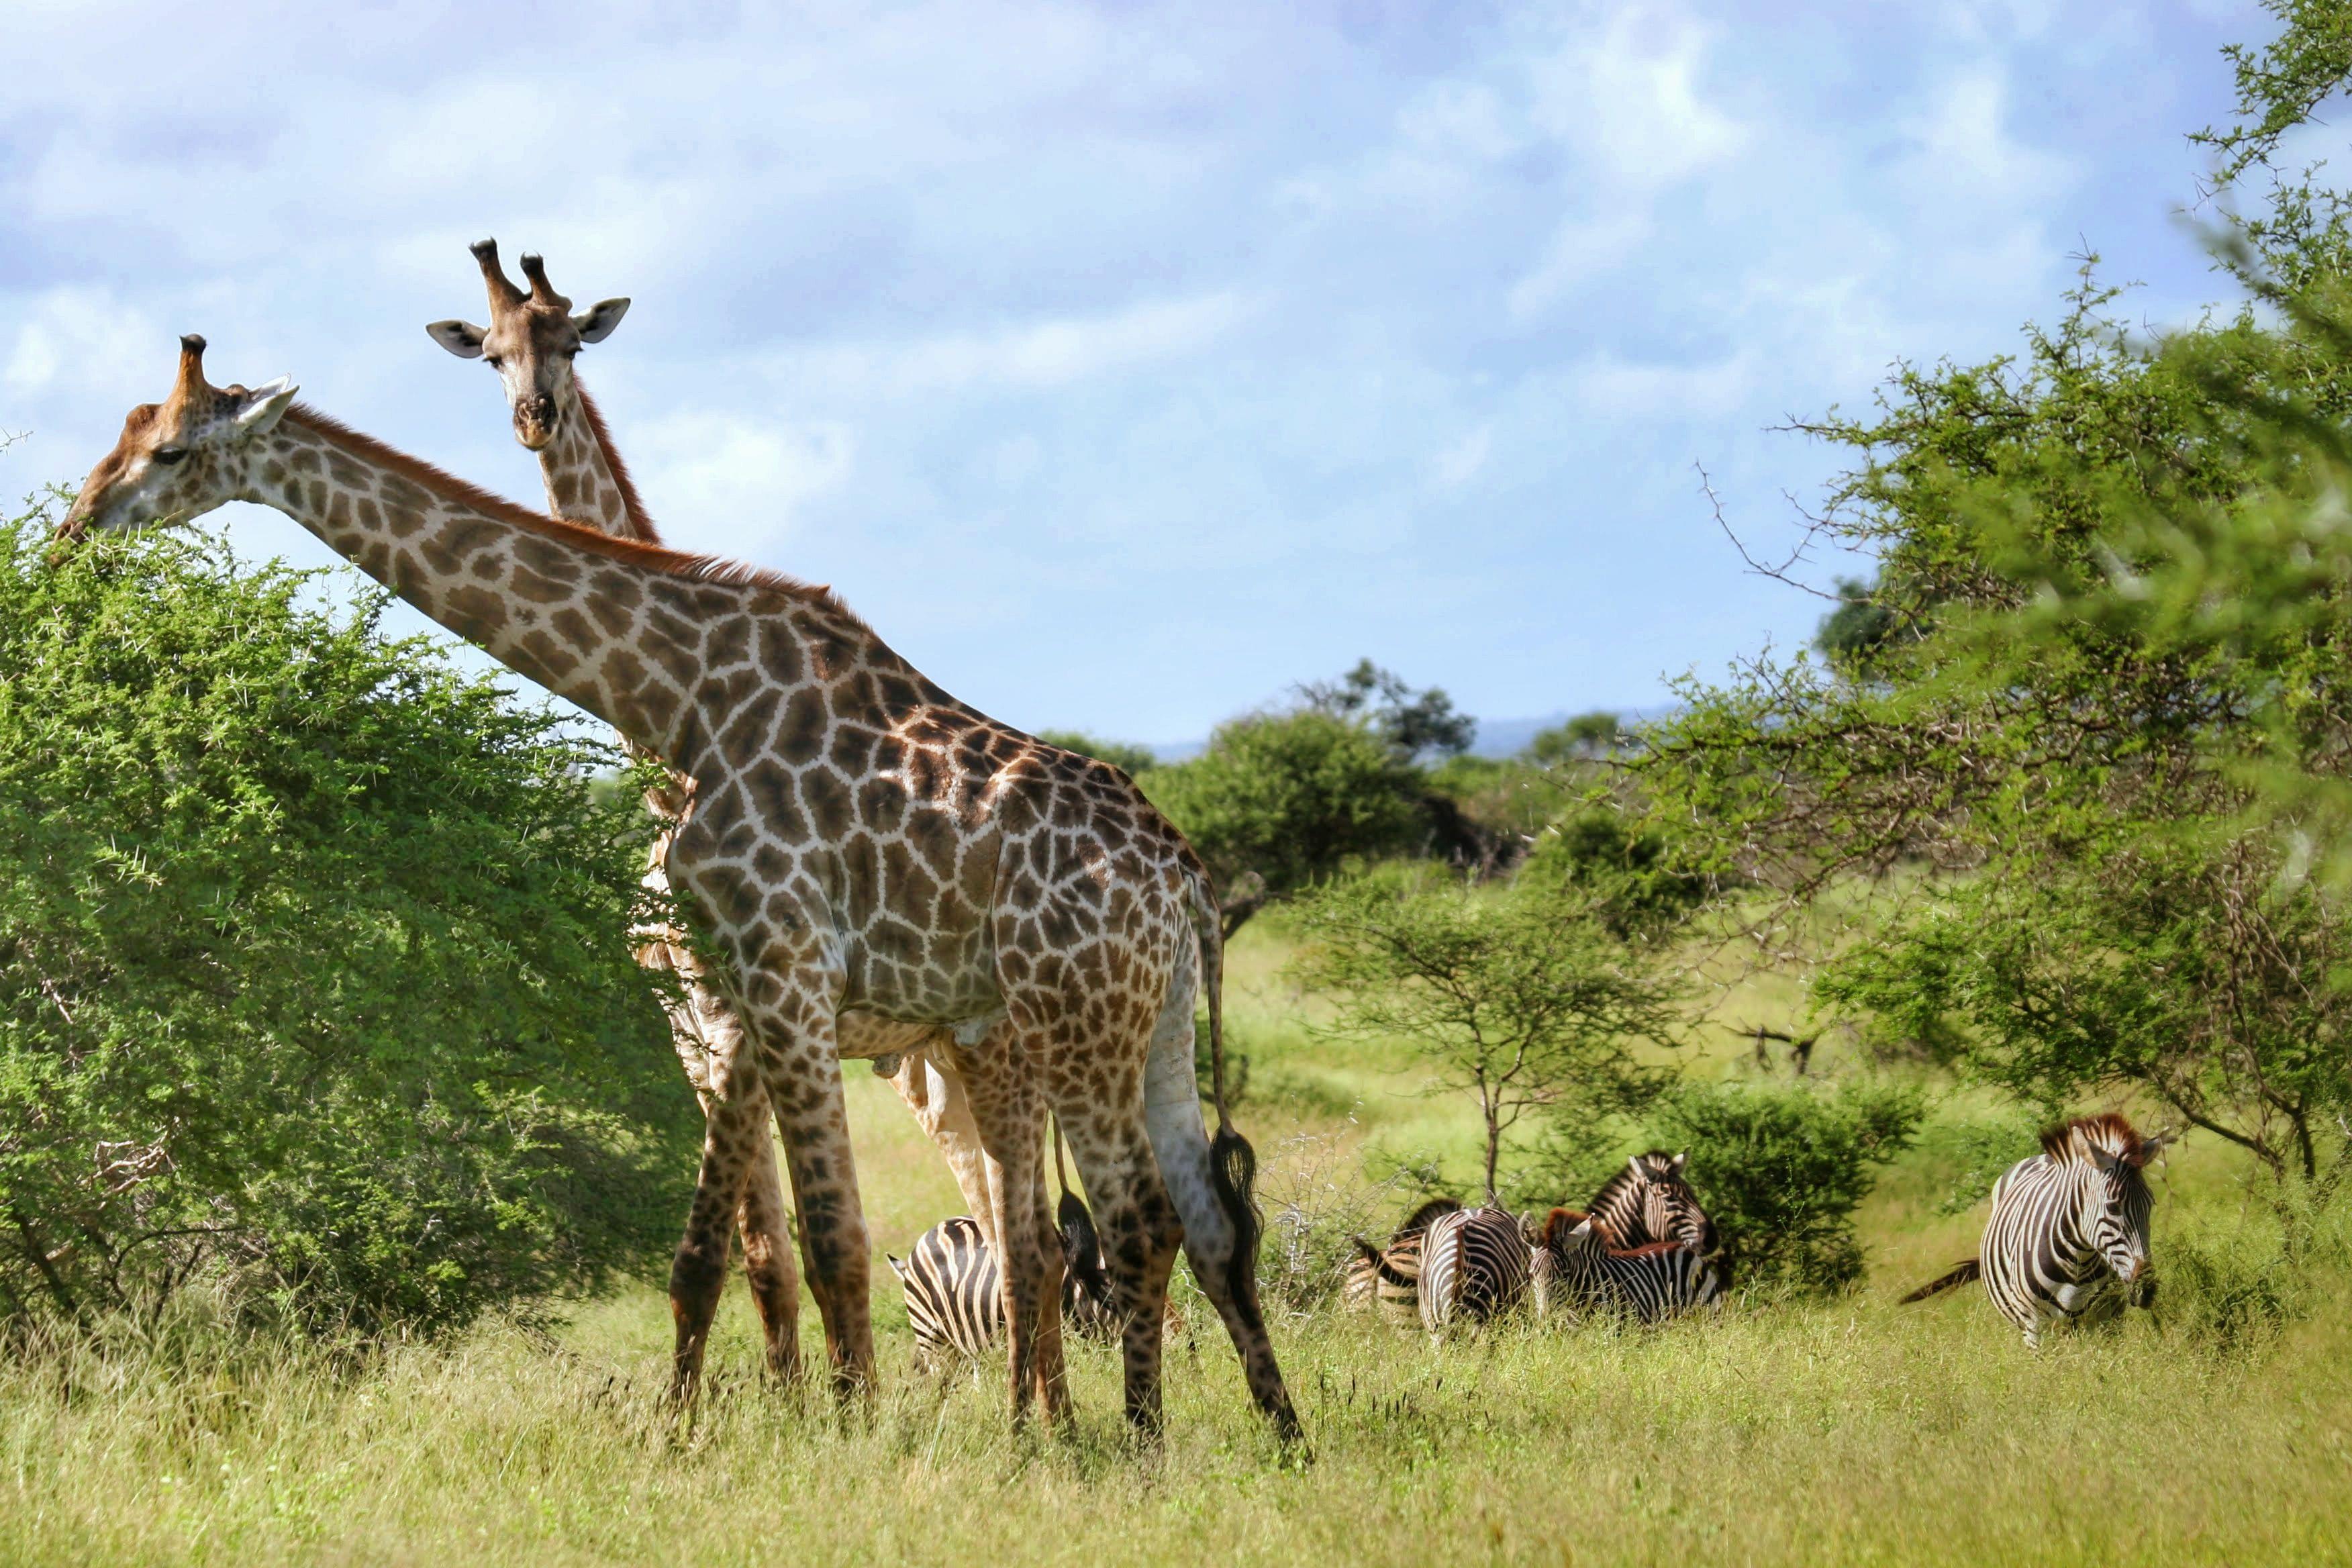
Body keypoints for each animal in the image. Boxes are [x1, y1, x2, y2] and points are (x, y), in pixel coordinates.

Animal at [1891, 1114, 2163, 1354]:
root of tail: (2041, 1157)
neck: (2079, 1262)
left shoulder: (2109, 1317)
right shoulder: (2035, 1328)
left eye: (2151, 1205)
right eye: (2113, 1207)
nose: (2146, 1290)